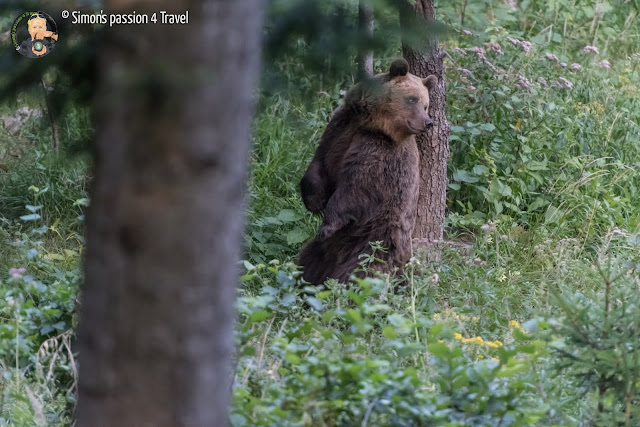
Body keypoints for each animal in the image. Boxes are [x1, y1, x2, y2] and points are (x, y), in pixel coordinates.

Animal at [299, 58, 437, 285]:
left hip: (375, 239)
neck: (371, 125)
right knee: (309, 260)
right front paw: (314, 202)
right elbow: (319, 164)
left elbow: (356, 188)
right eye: (412, 99)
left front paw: (327, 224)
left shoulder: (378, 152)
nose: (428, 122)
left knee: (363, 272)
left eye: (426, 104)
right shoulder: (339, 128)